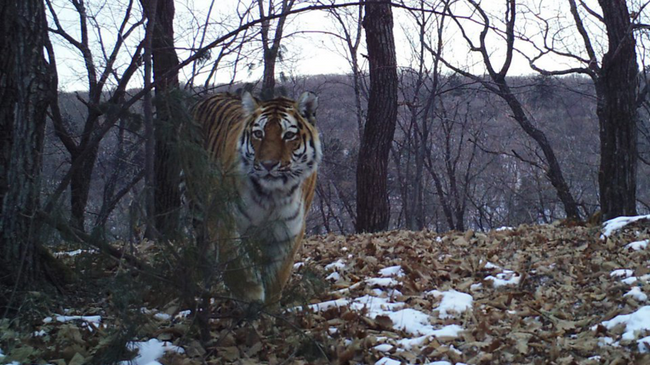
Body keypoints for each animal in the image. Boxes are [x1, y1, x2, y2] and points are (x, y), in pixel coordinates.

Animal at [191, 91, 320, 304]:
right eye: (259, 134)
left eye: (288, 135)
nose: (268, 164)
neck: (273, 195)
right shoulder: (228, 221)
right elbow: (237, 264)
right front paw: (252, 296)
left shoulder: (288, 231)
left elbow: (277, 277)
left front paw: (267, 308)